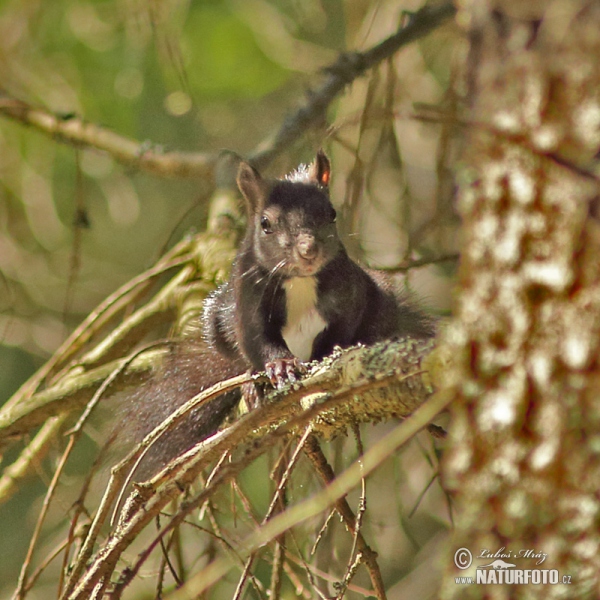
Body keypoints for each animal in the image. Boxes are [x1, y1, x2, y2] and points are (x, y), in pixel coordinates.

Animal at [113, 154, 432, 478]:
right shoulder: (247, 301)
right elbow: (257, 339)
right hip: (216, 318)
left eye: (331, 213)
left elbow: (341, 331)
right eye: (265, 224)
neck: (300, 281)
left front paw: (324, 357)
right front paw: (280, 366)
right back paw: (250, 382)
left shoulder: (351, 295)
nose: (308, 249)